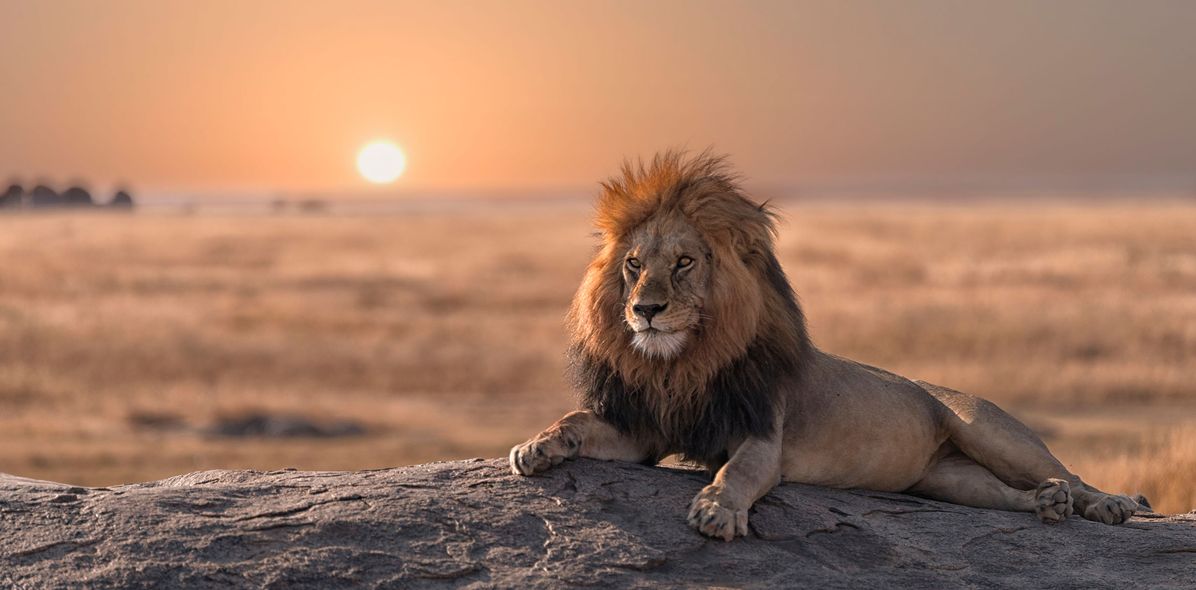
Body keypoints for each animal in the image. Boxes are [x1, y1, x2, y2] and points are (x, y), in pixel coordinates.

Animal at [509, 151, 1140, 541]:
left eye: (685, 263)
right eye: (635, 265)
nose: (645, 310)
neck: (682, 364)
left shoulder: (761, 436)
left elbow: (734, 473)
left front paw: (716, 510)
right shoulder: (646, 430)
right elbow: (577, 420)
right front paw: (536, 447)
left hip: (989, 430)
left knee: (1067, 474)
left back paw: (1107, 503)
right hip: (947, 479)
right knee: (1010, 495)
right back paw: (1045, 506)